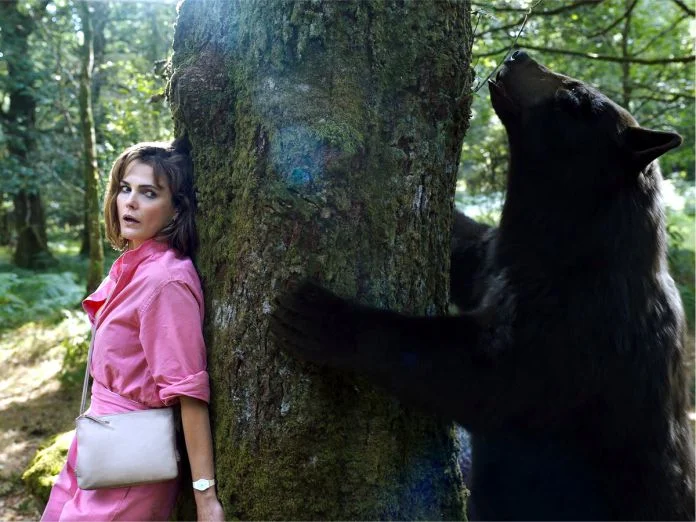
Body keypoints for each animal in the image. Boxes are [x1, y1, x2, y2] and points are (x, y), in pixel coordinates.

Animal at [270, 51, 695, 521]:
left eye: (575, 98)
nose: (518, 54)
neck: (565, 249)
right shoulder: (497, 259)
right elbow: (467, 250)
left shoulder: (581, 330)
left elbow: (481, 378)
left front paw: (323, 318)